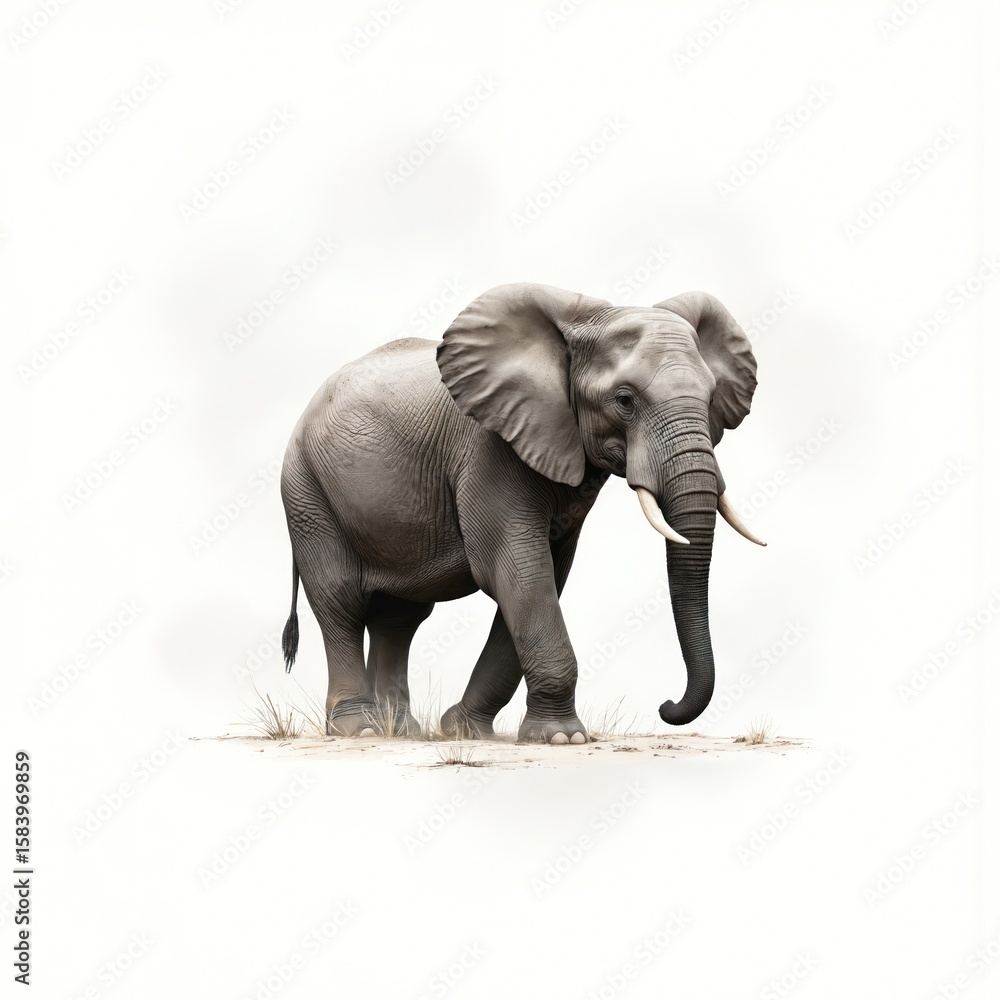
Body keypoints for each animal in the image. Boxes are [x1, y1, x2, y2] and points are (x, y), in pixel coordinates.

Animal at [278, 283, 764, 744]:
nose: (665, 705)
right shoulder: (488, 450)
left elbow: (546, 574)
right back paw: (359, 728)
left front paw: (464, 729)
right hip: (306, 491)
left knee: (399, 617)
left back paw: (399, 730)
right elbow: (516, 570)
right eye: (625, 400)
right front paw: (564, 737)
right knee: (340, 600)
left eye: (711, 397)